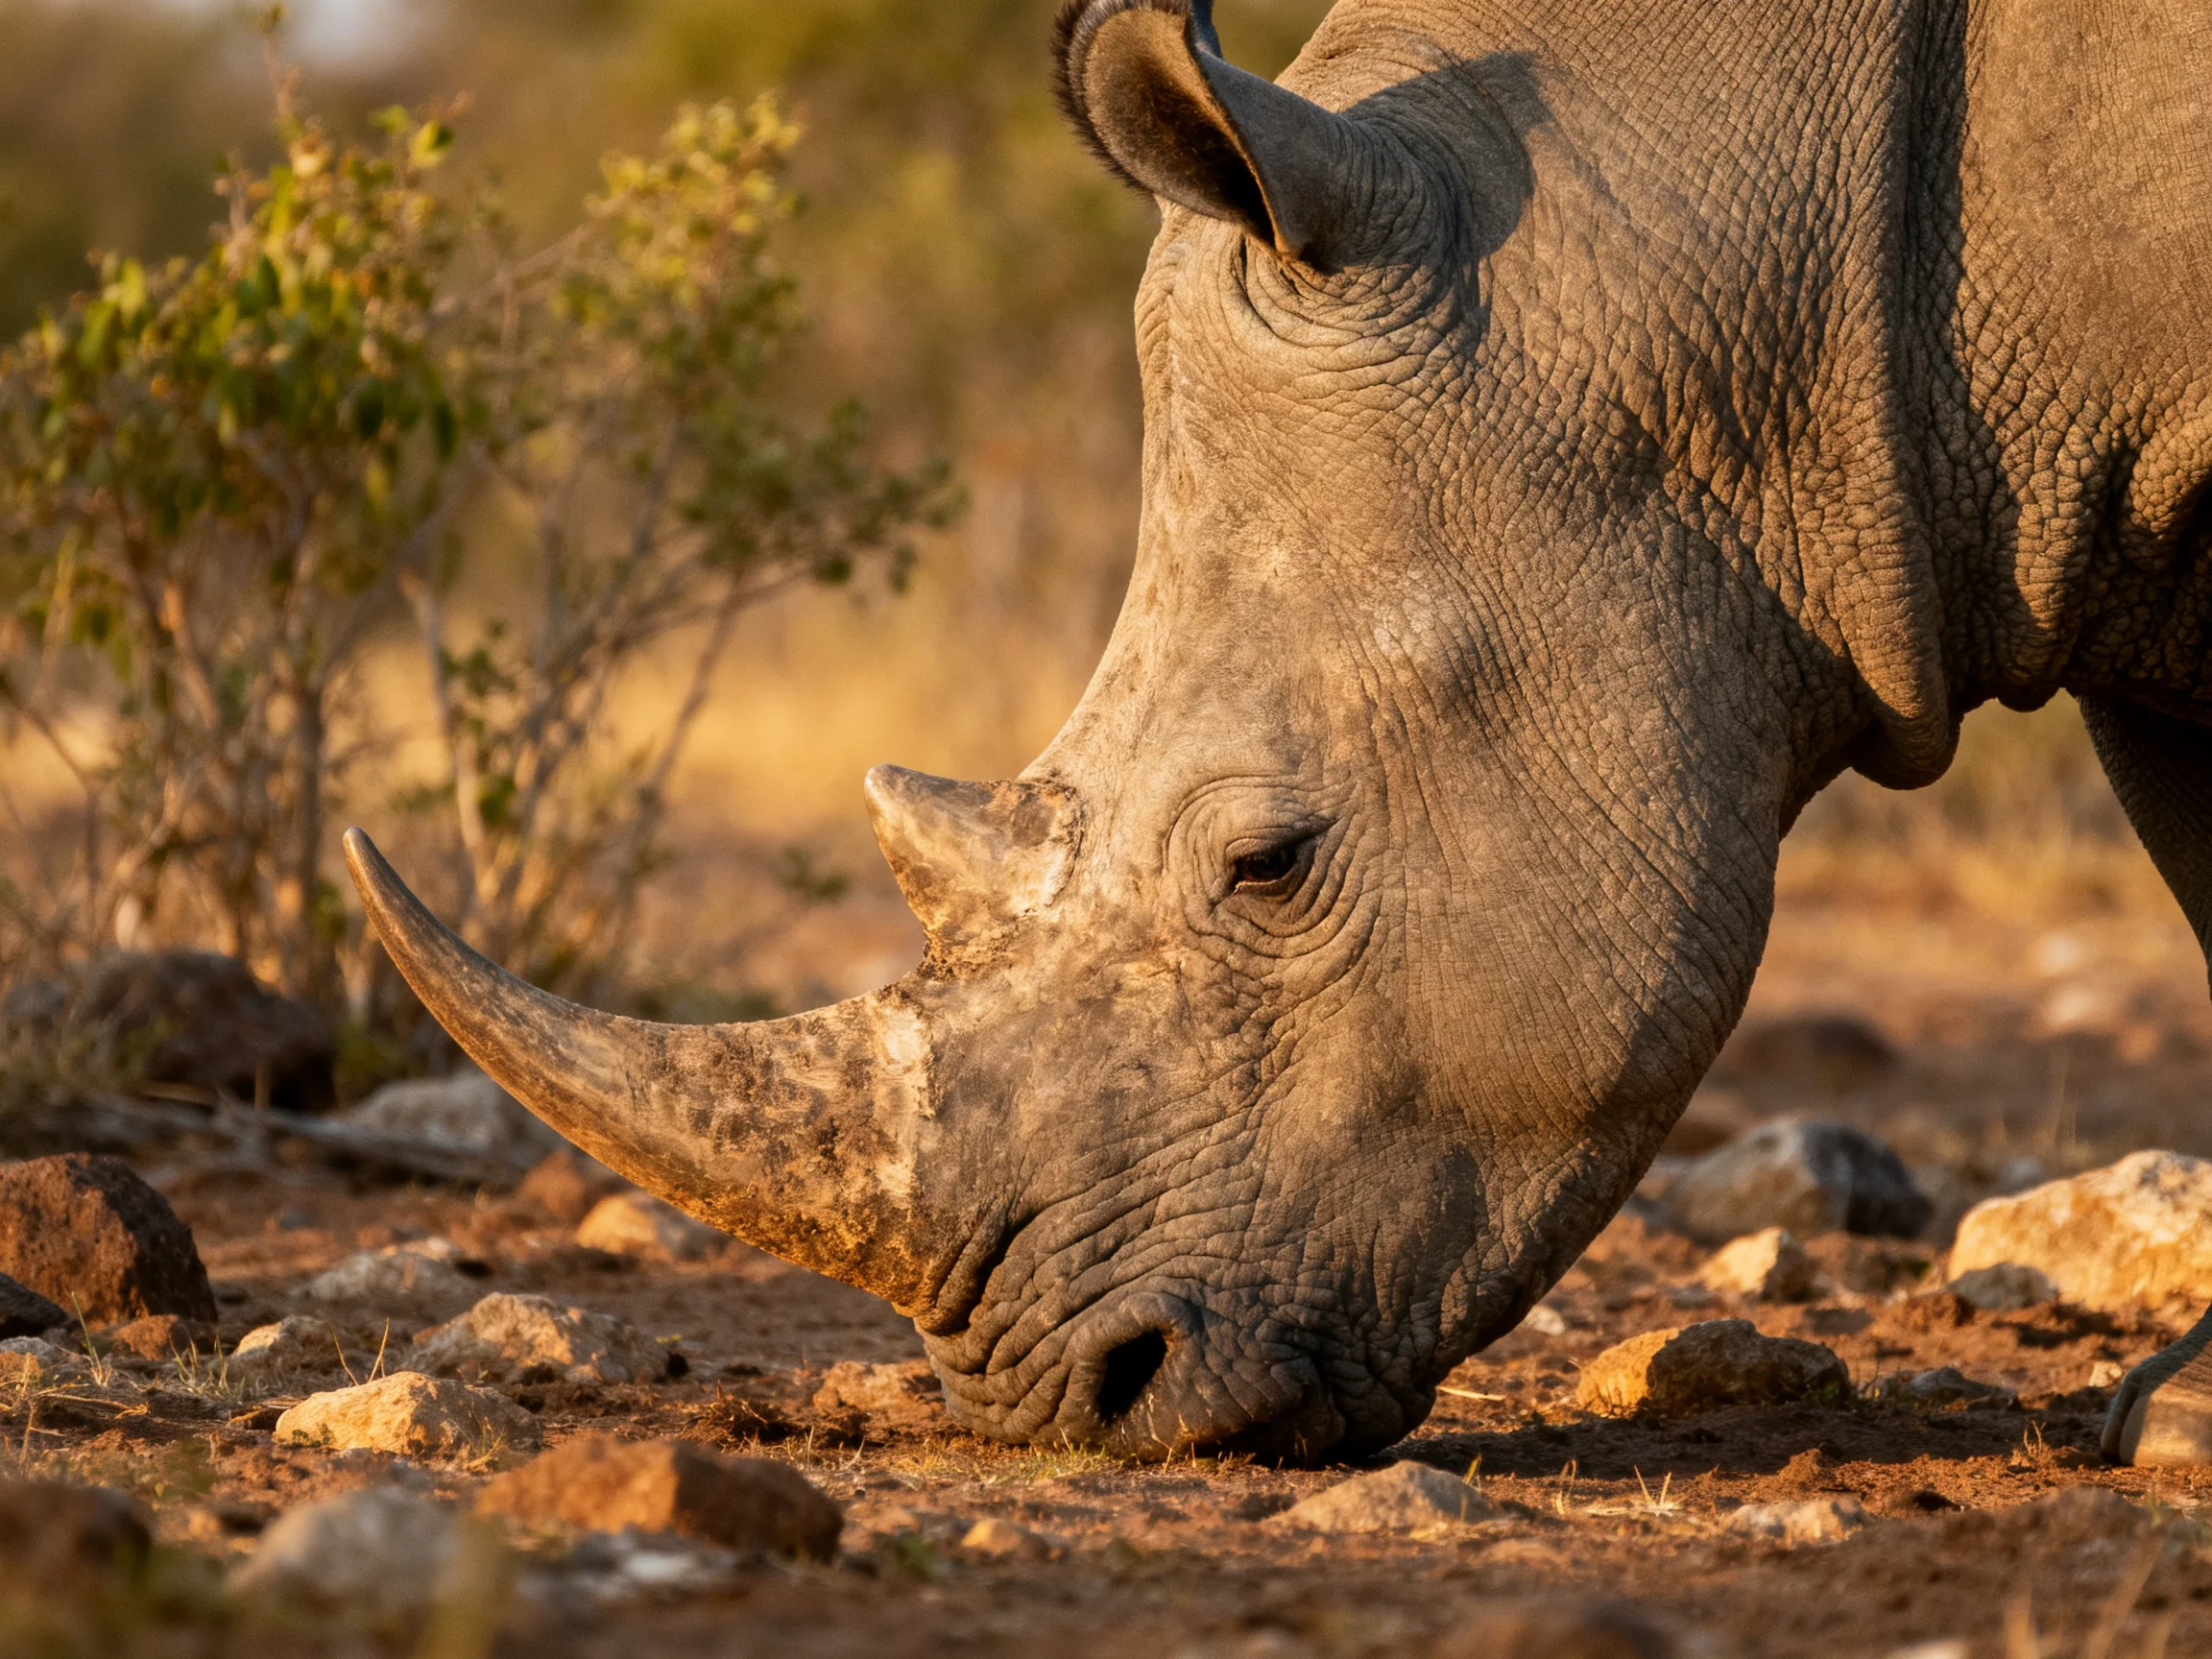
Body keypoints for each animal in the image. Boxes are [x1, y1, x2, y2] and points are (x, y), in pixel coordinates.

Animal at [346, 0, 2212, 1463]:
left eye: (1268, 863)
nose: (1067, 1404)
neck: (1802, 300)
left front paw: (2179, 1430)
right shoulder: (2106, 523)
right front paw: (2185, 1420)